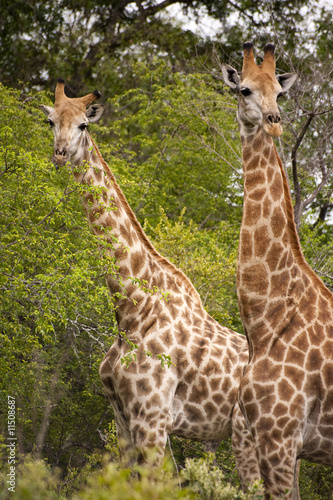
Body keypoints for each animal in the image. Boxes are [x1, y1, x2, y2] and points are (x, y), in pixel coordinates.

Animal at [40, 79, 260, 488]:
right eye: (51, 122)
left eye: (83, 125)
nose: (60, 155)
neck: (132, 308)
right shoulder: (122, 418)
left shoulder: (153, 417)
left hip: (250, 435)